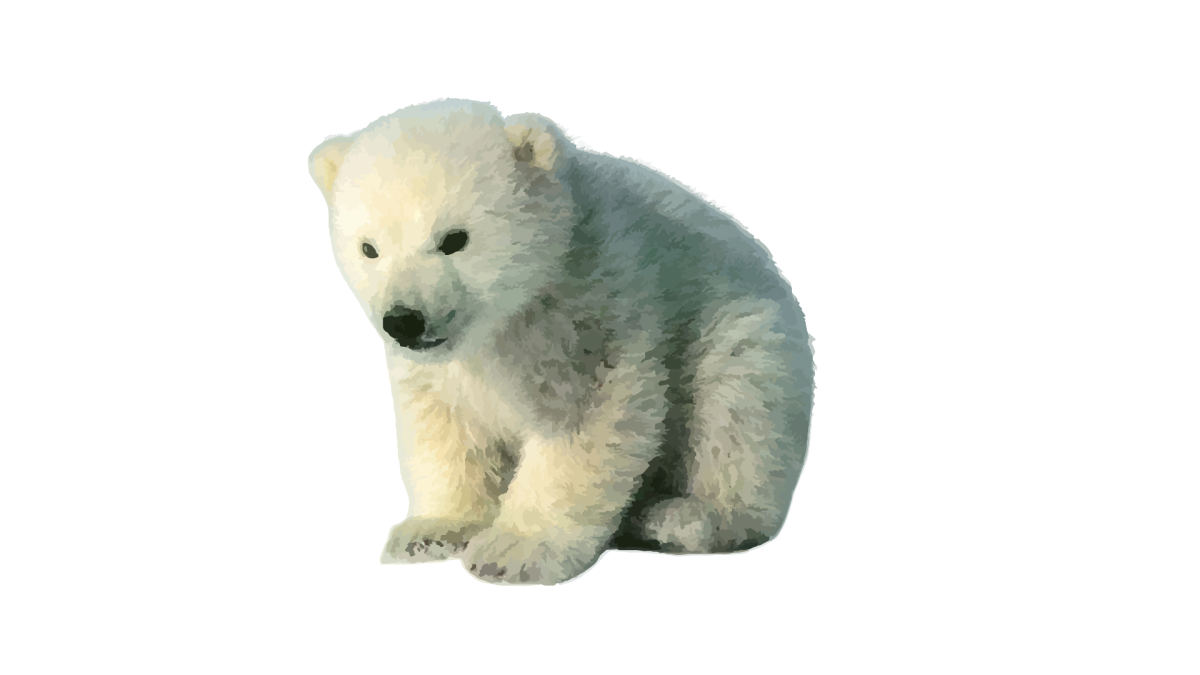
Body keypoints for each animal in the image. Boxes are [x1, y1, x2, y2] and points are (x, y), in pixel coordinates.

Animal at [308, 99, 815, 585]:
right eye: (369, 249)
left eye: (454, 239)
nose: (404, 321)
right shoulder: (442, 368)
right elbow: (445, 424)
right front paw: (427, 532)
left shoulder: (592, 303)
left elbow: (584, 418)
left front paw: (513, 551)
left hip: (742, 328)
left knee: (736, 409)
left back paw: (683, 516)